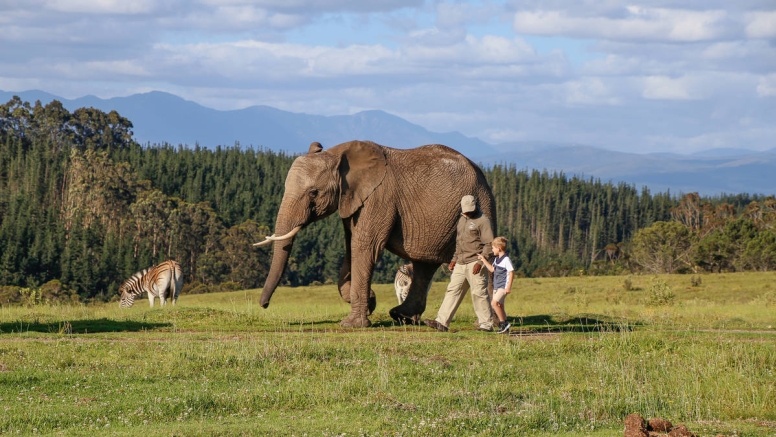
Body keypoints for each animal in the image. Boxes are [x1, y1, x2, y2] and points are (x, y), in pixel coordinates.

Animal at [256, 140, 498, 328]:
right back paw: (401, 317)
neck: (337, 153)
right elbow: (350, 247)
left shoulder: (378, 197)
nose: (263, 305)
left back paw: (487, 324)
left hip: (482, 203)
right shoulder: (352, 200)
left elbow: (364, 246)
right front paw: (370, 303)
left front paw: (352, 324)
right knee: (424, 265)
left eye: (314, 192)